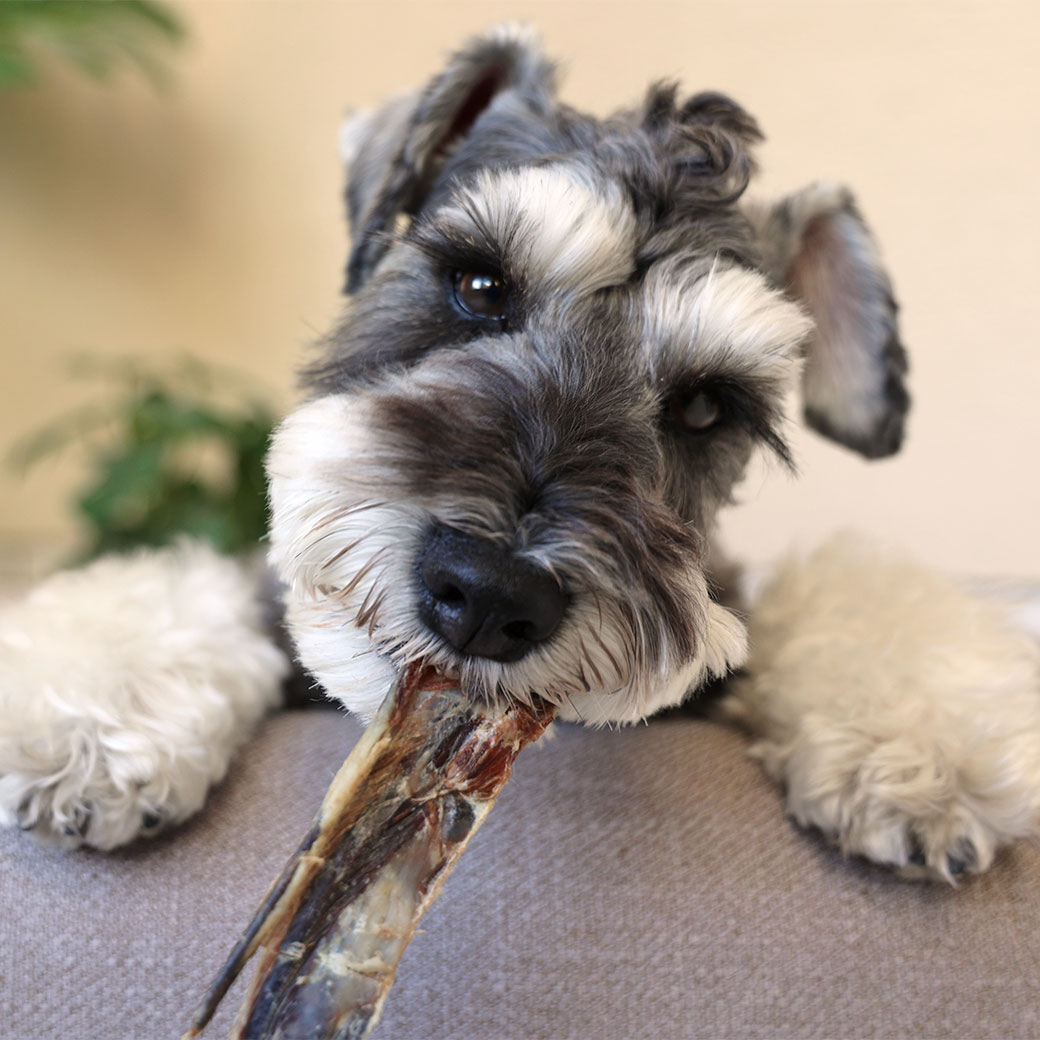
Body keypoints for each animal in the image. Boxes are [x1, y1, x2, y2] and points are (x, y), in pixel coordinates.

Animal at [3, 24, 1039, 884]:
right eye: (477, 282)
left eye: (707, 405)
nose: (489, 593)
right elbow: (173, 581)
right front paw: (85, 726)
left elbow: (846, 591)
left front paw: (924, 758)